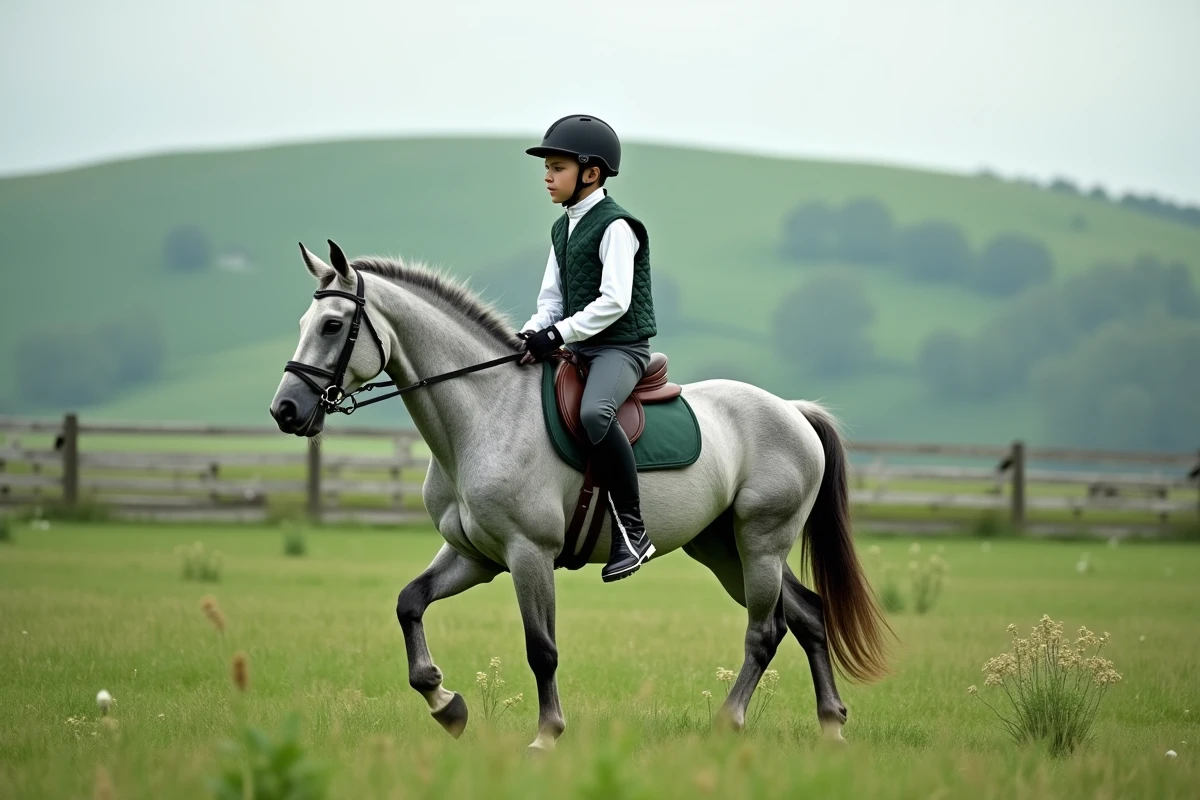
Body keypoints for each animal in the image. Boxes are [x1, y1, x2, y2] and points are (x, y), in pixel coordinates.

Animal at [269, 240, 891, 752]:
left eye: (332, 325)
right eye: (303, 322)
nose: (286, 411)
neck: (484, 411)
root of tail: (793, 411)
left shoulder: (529, 553)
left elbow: (540, 648)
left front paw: (546, 735)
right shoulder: (475, 555)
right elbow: (409, 603)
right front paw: (447, 706)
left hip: (761, 542)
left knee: (765, 633)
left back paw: (729, 723)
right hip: (724, 549)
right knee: (808, 615)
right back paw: (831, 724)